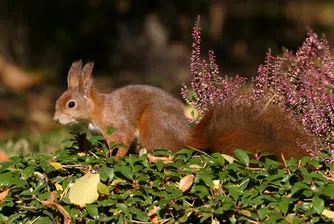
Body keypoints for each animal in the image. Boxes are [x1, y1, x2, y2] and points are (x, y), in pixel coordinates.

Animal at [54, 60, 314, 160]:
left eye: (71, 104)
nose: (56, 120)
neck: (96, 110)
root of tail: (185, 137)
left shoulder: (117, 125)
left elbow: (122, 142)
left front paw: (113, 158)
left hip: (152, 124)